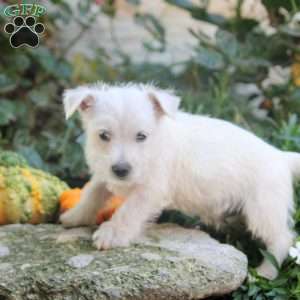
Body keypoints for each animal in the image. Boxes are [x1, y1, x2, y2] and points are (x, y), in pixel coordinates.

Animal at [61, 82, 298, 278]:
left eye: (141, 136)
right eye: (103, 135)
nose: (121, 170)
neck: (156, 142)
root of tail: (281, 156)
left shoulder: (149, 190)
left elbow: (128, 211)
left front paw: (112, 233)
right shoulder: (104, 175)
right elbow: (92, 194)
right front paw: (74, 217)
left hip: (263, 209)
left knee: (282, 239)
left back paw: (265, 272)